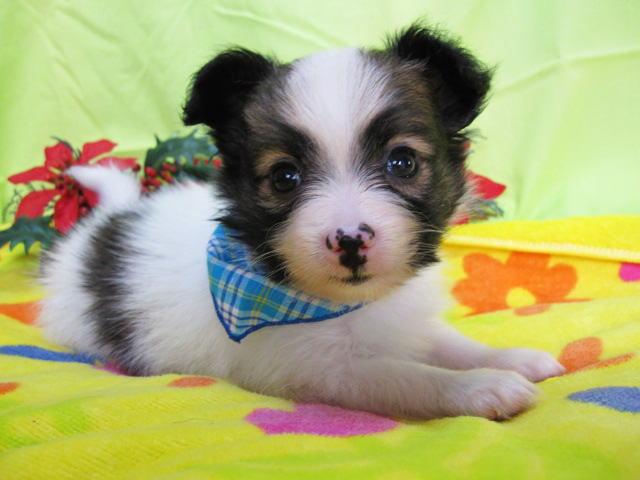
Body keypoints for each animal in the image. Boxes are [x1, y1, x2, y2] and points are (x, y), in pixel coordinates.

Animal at [38, 24, 565, 420]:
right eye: (284, 176)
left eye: (402, 163)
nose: (350, 240)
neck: (338, 303)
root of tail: (106, 219)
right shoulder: (318, 370)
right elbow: (408, 376)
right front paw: (484, 387)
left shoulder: (401, 321)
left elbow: (446, 343)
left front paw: (510, 359)